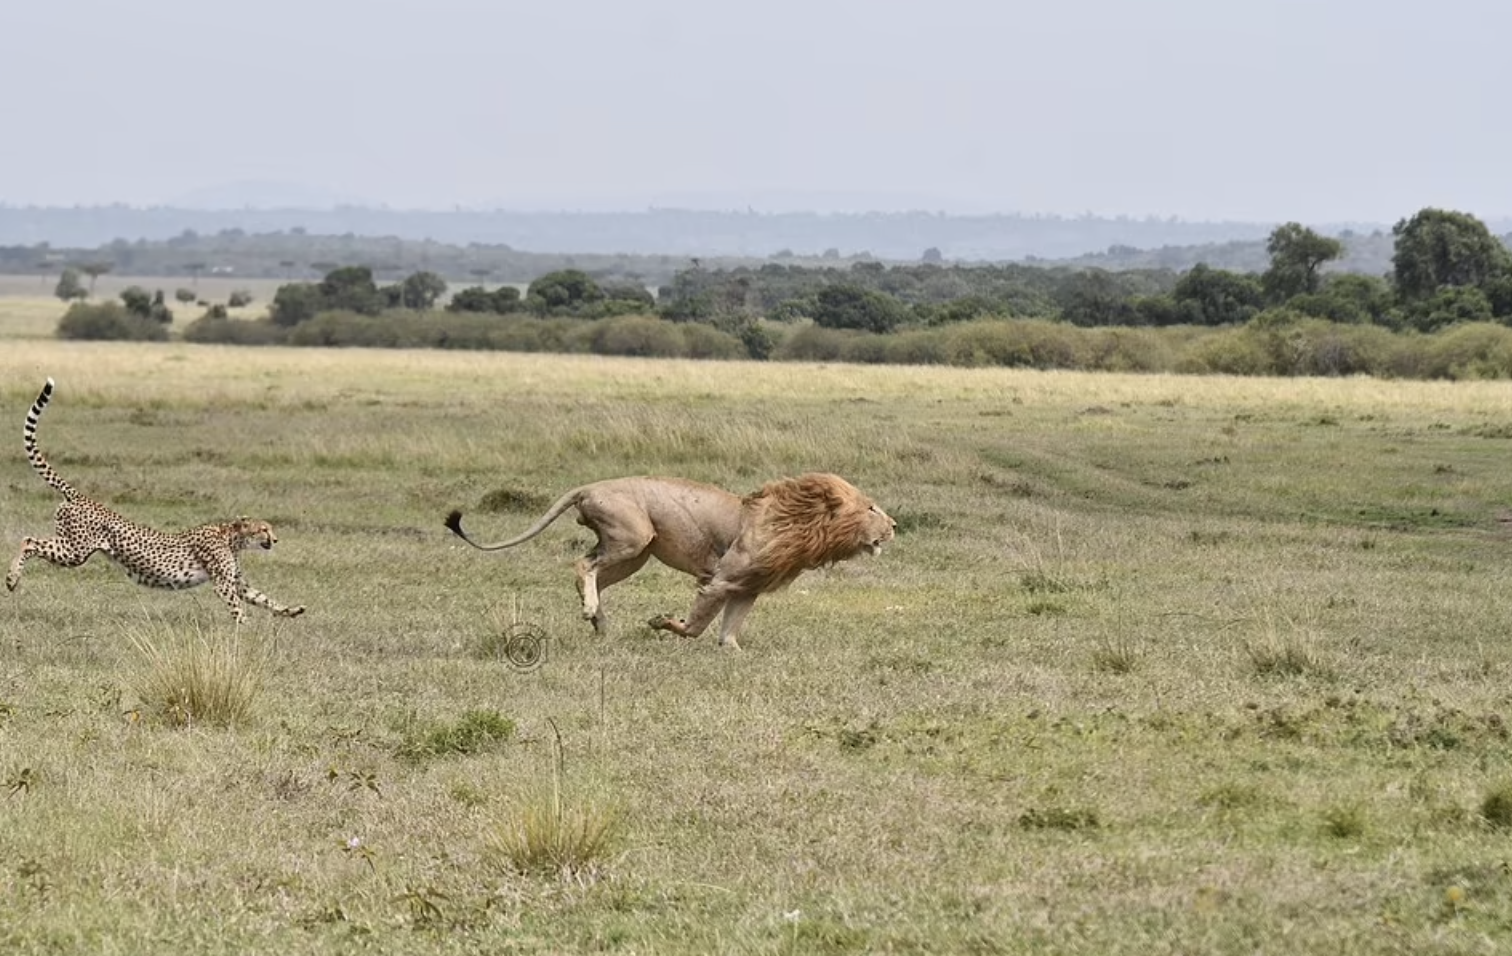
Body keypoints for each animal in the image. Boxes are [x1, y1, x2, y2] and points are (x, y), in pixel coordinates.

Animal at [444, 473, 895, 648]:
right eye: (871, 507)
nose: (895, 525)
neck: (802, 524)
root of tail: (588, 486)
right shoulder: (722, 580)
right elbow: (695, 626)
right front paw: (662, 622)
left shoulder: (746, 588)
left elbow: (728, 633)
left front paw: (733, 652)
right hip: (634, 538)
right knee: (583, 566)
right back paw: (591, 612)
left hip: (635, 553)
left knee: (591, 571)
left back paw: (600, 623)